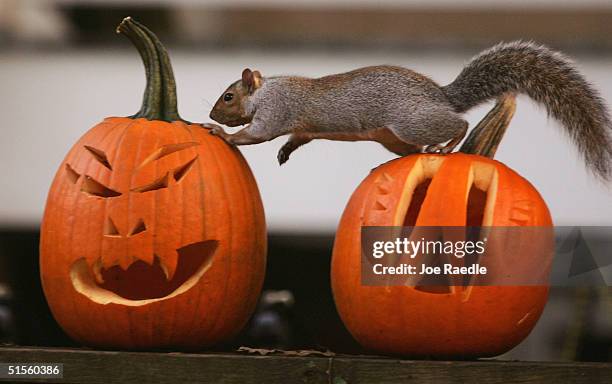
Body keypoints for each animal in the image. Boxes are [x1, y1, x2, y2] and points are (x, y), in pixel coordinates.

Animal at [207, 42, 612, 180]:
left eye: (227, 96)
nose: (211, 116)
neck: (265, 91)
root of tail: (443, 97)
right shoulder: (303, 127)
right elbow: (299, 138)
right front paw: (285, 152)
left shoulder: (276, 111)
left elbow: (255, 135)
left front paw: (223, 134)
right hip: (395, 137)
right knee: (412, 151)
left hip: (410, 122)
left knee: (458, 124)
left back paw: (447, 146)